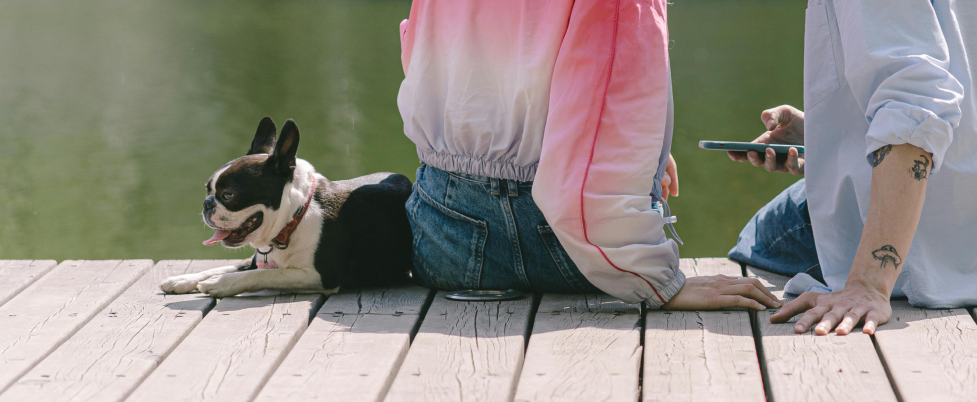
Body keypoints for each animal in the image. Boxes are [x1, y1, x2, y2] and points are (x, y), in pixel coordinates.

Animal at [162, 117, 414, 298]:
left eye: (228, 195)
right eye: (208, 190)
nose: (207, 204)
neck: (294, 218)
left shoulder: (318, 276)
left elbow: (262, 276)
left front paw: (219, 284)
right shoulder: (255, 261)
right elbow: (226, 267)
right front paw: (183, 279)